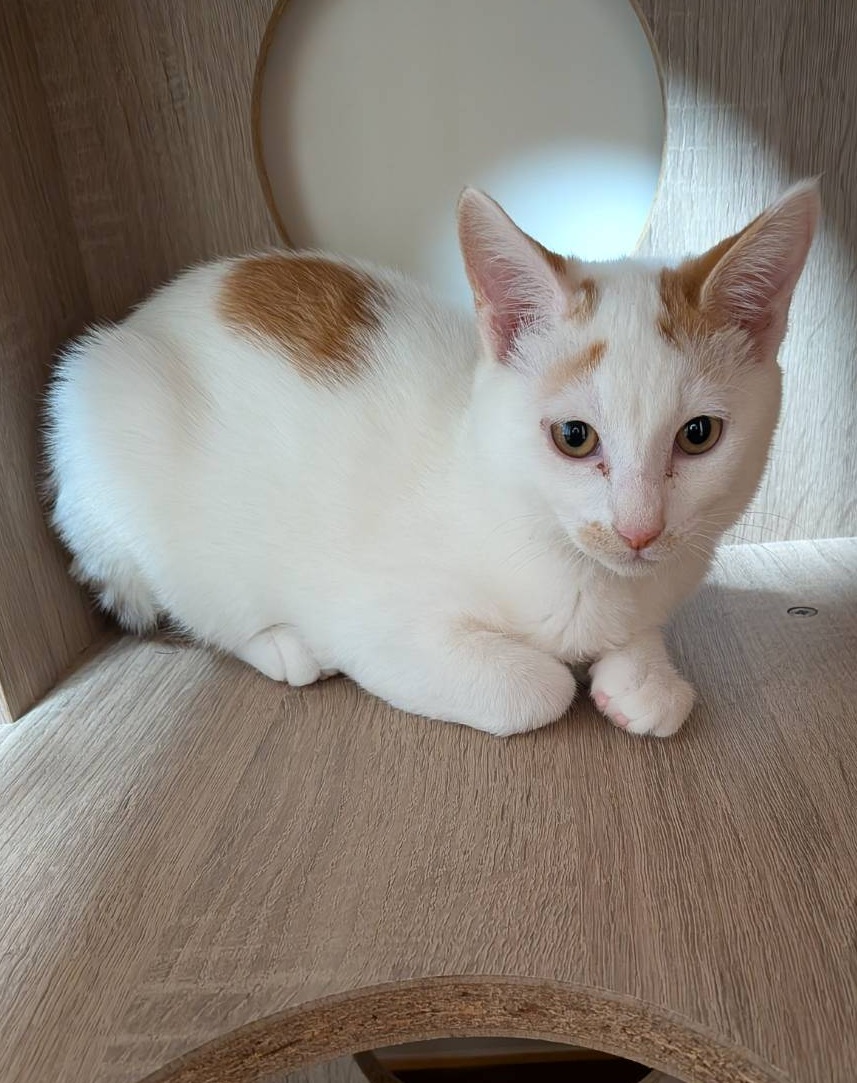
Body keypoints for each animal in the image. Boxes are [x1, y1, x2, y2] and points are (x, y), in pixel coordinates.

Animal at [44, 182, 818, 737]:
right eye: (574, 436)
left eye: (698, 435)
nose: (638, 530)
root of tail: (142, 317)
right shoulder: (371, 618)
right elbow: (534, 688)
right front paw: (569, 676)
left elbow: (648, 666)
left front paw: (643, 680)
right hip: (116, 438)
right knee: (187, 597)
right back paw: (282, 645)